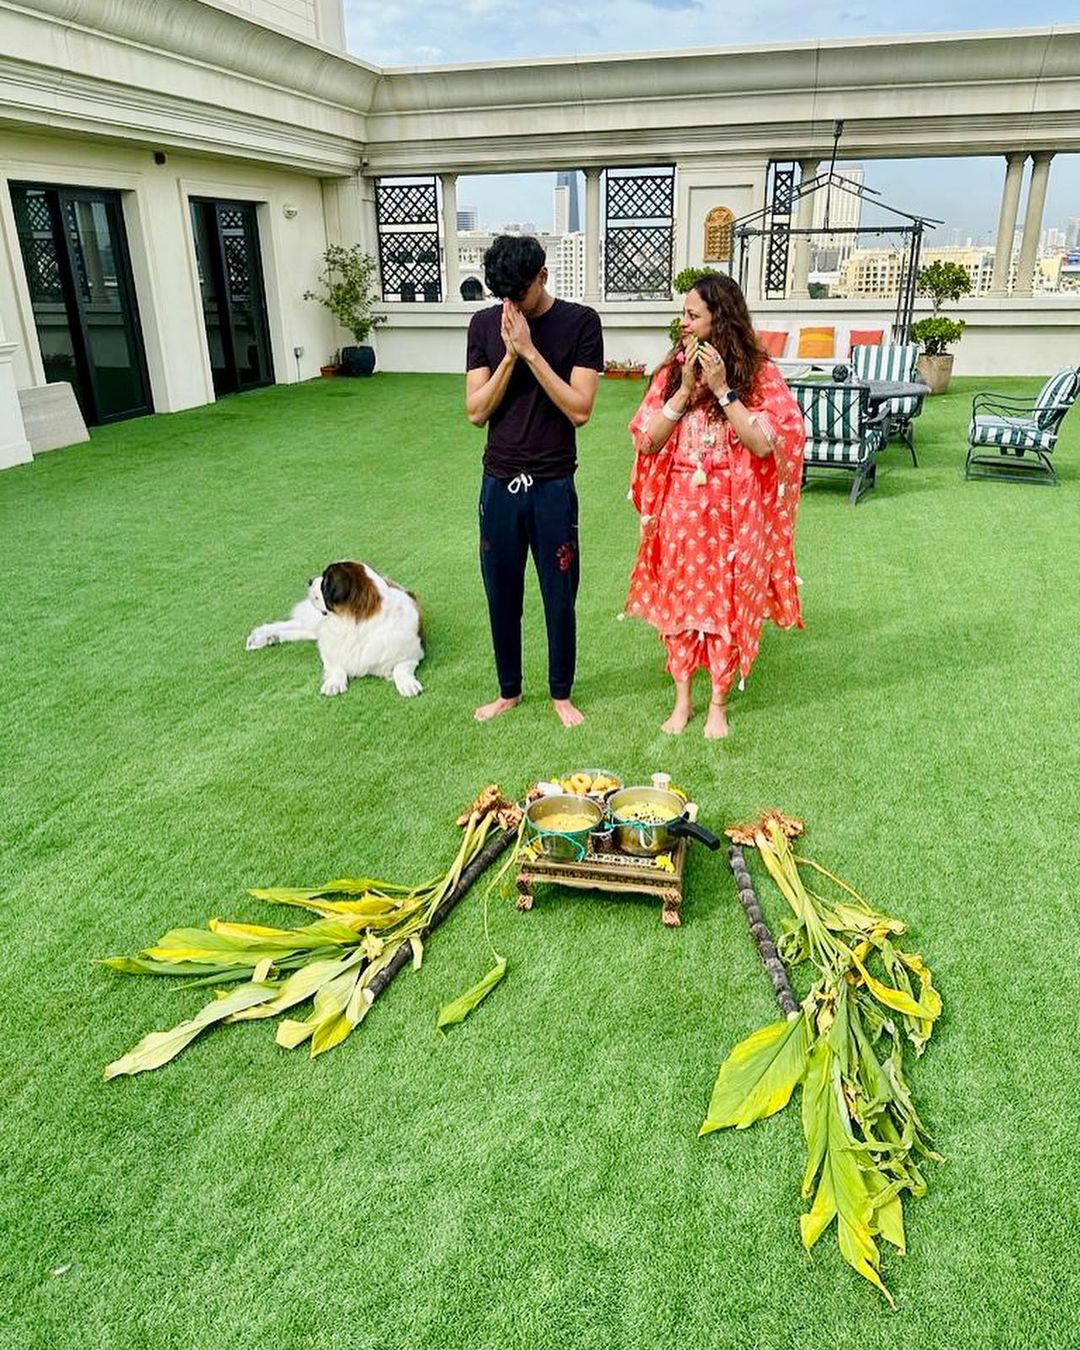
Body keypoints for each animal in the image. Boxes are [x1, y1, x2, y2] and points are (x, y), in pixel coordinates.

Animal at [247, 564, 423, 702]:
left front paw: (408, 684)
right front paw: (334, 683)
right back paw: (260, 636)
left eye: (325, 583)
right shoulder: (330, 648)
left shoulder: (413, 652)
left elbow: (400, 667)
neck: (355, 626)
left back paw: (272, 638)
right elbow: (334, 665)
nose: (310, 581)